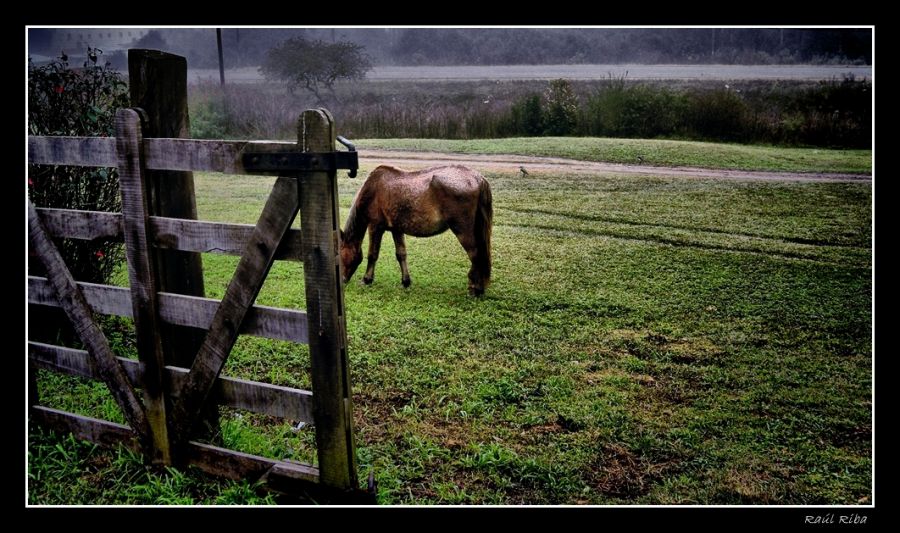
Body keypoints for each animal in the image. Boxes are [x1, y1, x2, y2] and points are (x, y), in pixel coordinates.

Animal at [340, 163, 492, 296]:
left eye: (340, 256)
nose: (343, 280)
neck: (372, 190)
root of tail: (477, 178)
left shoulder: (375, 227)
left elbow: (372, 254)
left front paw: (366, 279)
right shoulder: (397, 229)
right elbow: (401, 254)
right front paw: (405, 281)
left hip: (462, 231)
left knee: (476, 255)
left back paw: (476, 288)